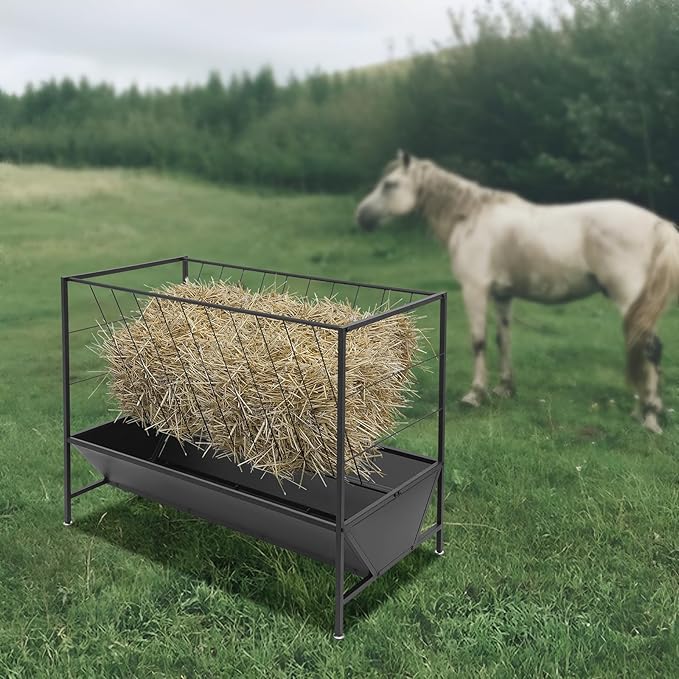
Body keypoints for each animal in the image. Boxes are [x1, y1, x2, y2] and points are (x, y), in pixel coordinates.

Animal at [356, 151, 679, 433]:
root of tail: (658, 225)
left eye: (390, 184)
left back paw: (649, 417)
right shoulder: (502, 295)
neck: (469, 217)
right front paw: (504, 388)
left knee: (649, 348)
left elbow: (479, 341)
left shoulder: (474, 289)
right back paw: (644, 411)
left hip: (630, 299)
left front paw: (475, 394)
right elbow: (503, 340)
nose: (361, 217)